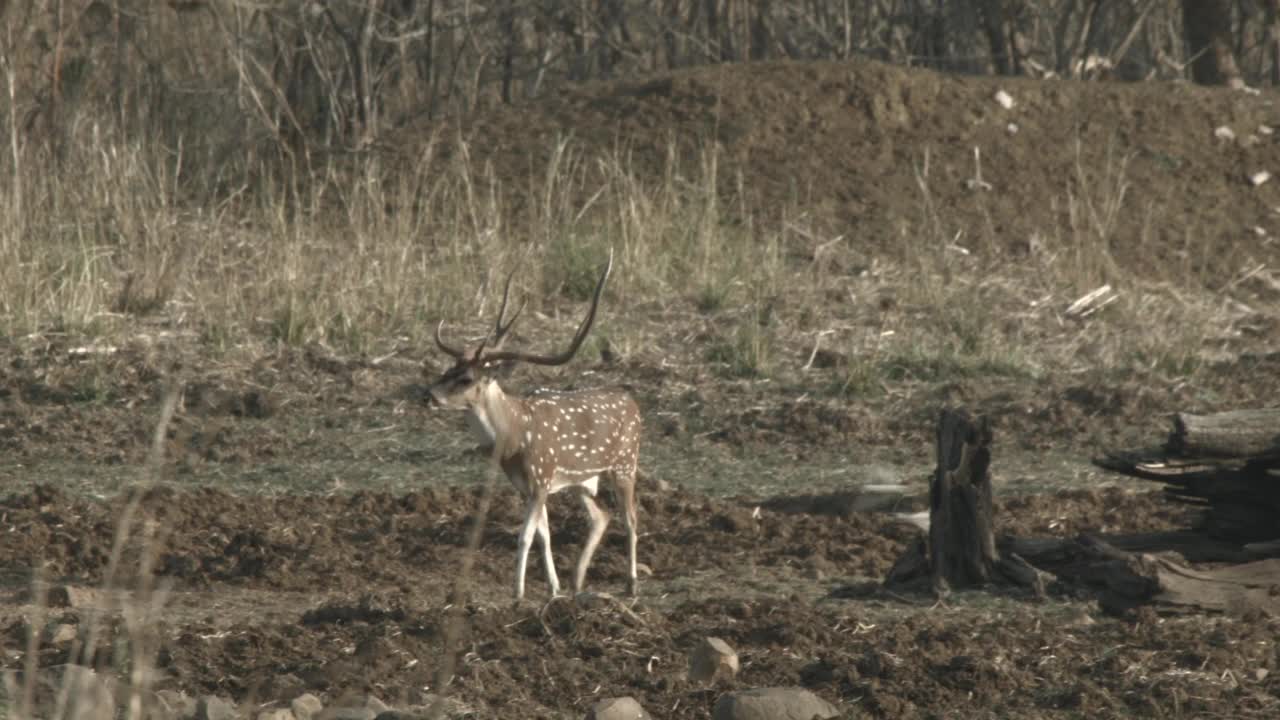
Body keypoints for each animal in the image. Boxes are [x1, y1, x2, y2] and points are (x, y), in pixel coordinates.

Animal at [427, 251, 645, 599]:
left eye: (466, 378)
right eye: (448, 369)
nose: (429, 394)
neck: (515, 437)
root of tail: (633, 403)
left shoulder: (541, 478)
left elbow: (525, 536)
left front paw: (518, 593)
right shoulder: (526, 486)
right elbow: (544, 534)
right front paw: (553, 588)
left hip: (625, 464)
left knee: (631, 518)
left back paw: (631, 583)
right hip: (583, 480)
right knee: (602, 516)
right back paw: (577, 580)